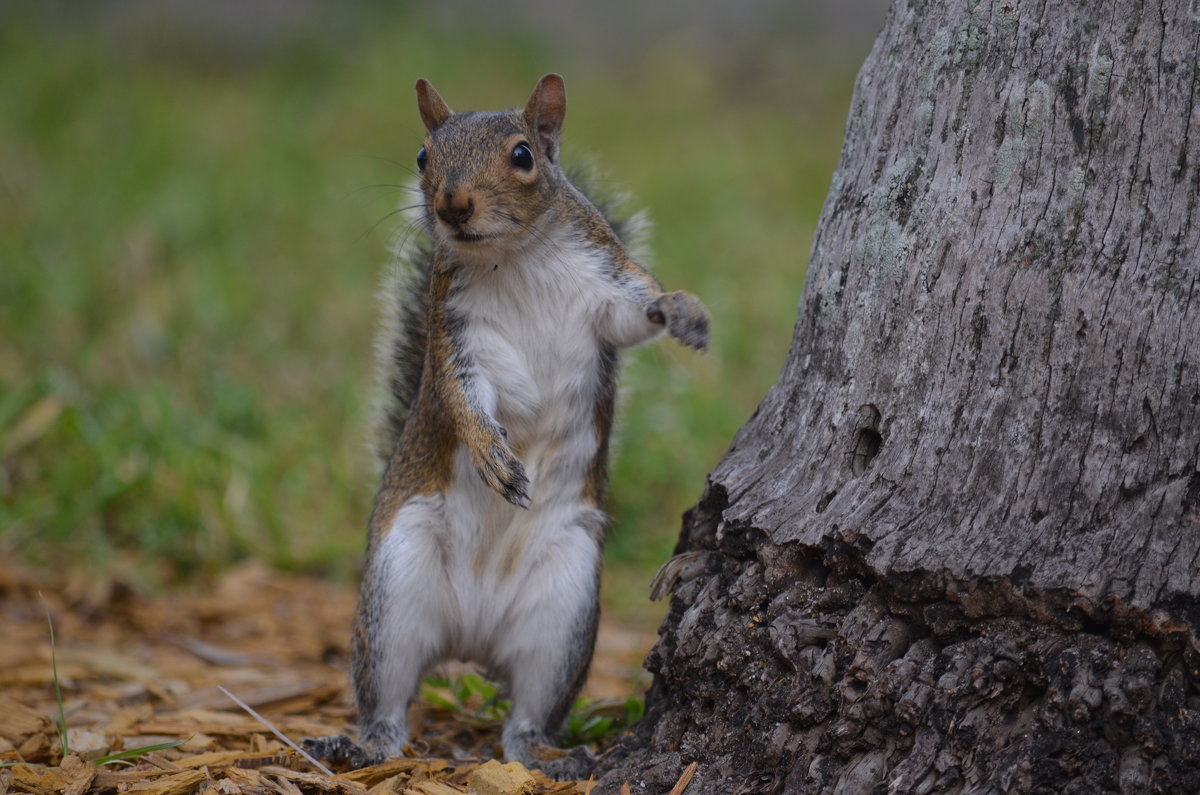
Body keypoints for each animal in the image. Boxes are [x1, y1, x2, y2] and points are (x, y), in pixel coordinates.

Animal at [304, 71, 705, 782]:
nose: (452, 205)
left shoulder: (608, 291)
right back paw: (360, 745)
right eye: (422, 157)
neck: (514, 257)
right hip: (396, 587)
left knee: (524, 721)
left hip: (564, 611)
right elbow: (462, 399)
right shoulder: (458, 337)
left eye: (522, 156)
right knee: (387, 704)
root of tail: (473, 638)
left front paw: (682, 307)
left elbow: (642, 315)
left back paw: (551, 756)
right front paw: (493, 456)